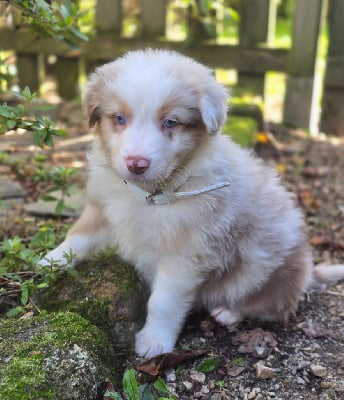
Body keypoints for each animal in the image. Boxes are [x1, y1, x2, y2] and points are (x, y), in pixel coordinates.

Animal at [42, 48, 344, 358]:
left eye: (170, 122)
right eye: (119, 118)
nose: (136, 163)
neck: (152, 195)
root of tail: (306, 274)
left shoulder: (187, 254)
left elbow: (163, 302)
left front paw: (154, 341)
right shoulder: (103, 204)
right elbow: (78, 235)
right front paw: (50, 262)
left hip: (264, 268)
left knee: (272, 305)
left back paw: (229, 312)